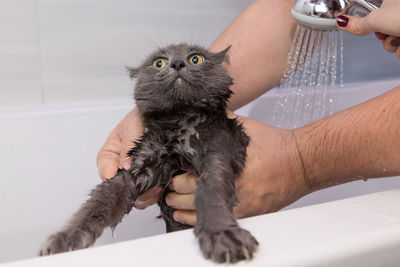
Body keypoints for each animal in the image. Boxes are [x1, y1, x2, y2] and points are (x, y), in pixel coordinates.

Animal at [39, 44, 260, 264]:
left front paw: (222, 235)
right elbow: (99, 201)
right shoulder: (137, 166)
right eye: (159, 62)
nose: (177, 63)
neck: (180, 124)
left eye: (196, 59)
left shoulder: (218, 150)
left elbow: (212, 189)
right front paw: (66, 237)